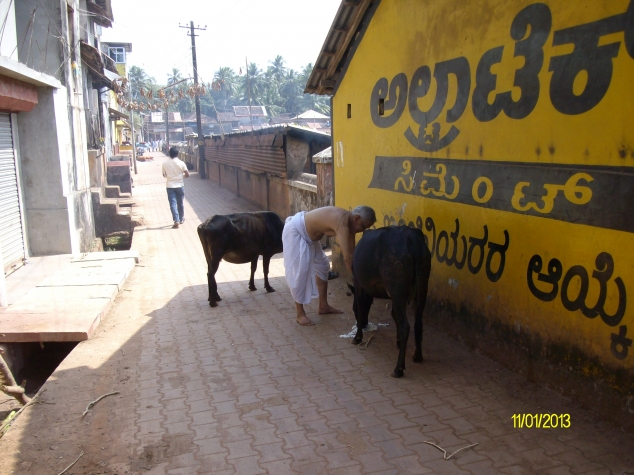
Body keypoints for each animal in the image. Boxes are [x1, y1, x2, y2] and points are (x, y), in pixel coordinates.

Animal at [348, 227, 432, 380]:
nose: (365, 324)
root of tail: (411, 237)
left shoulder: (359, 284)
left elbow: (360, 308)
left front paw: (357, 337)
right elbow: (394, 315)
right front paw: (398, 341)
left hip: (397, 289)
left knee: (405, 326)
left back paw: (398, 368)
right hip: (422, 287)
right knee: (418, 323)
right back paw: (418, 355)